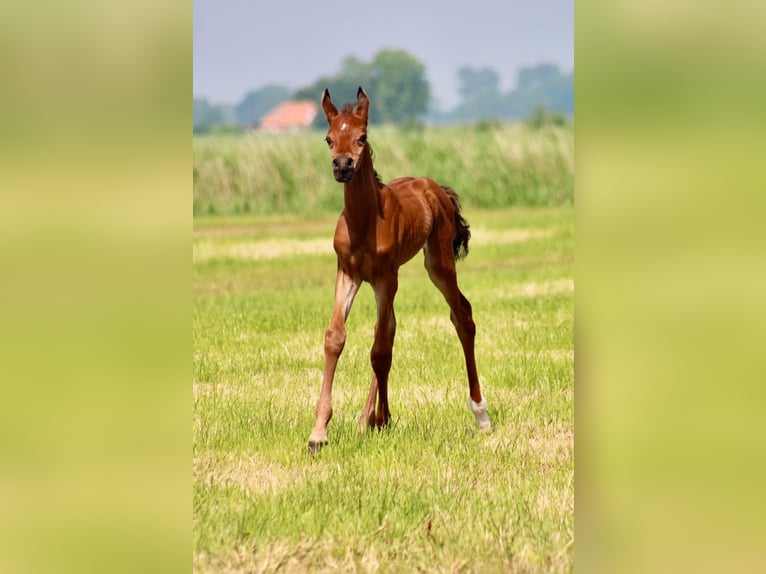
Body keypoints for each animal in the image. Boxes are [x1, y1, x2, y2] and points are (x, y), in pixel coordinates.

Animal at [308, 86, 492, 454]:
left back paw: (481, 415)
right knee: (390, 329)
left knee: (461, 315)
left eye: (362, 137)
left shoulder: (385, 277)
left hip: (438, 264)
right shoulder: (347, 273)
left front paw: (383, 419)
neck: (364, 221)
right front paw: (319, 432)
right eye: (329, 138)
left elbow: (379, 350)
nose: (343, 166)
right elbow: (338, 338)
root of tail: (436, 188)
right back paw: (366, 419)